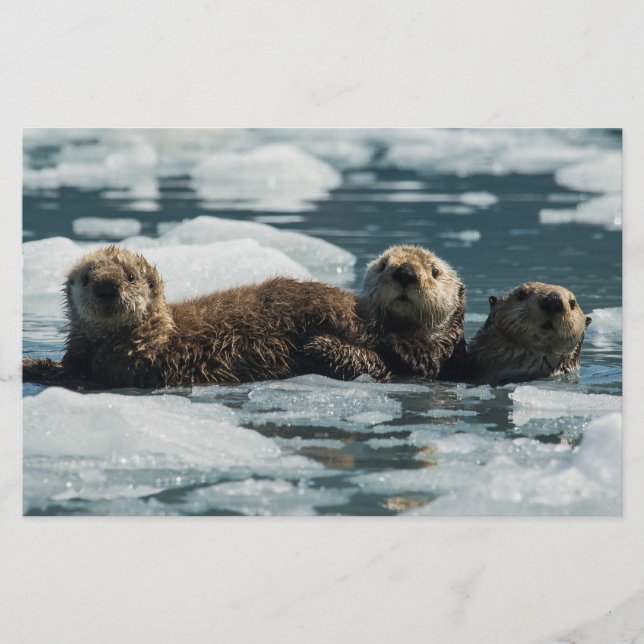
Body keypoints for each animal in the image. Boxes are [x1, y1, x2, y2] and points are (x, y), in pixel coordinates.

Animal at [23, 246, 389, 389]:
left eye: (129, 277)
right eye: (87, 278)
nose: (107, 287)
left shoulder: (129, 367)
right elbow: (68, 369)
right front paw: (31, 365)